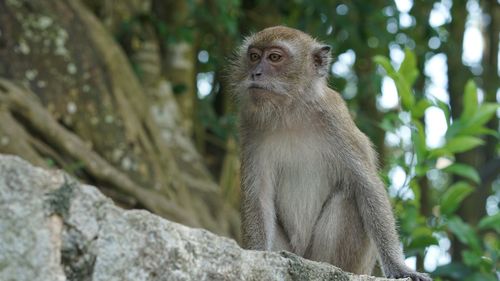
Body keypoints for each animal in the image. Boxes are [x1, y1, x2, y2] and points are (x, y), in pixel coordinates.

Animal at [232, 26, 432, 280]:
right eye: (254, 56)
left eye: (275, 57)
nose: (255, 73)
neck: (290, 112)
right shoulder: (250, 125)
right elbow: (258, 194)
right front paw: (257, 256)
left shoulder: (335, 119)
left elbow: (368, 186)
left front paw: (399, 267)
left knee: (348, 197)